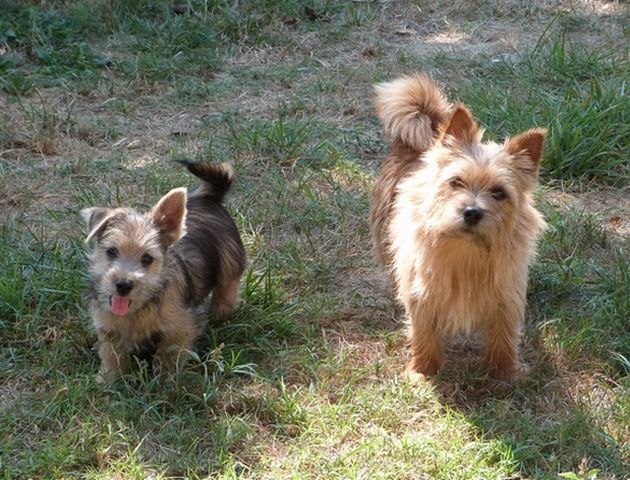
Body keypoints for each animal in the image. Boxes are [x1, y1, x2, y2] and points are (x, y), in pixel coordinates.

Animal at [79, 161, 247, 382]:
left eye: (147, 259)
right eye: (111, 251)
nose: (123, 285)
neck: (138, 309)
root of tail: (206, 197)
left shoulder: (179, 329)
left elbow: (167, 356)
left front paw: (165, 381)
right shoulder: (109, 329)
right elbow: (111, 355)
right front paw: (107, 380)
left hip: (229, 270)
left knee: (226, 295)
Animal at [370, 75, 548, 380]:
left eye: (499, 193)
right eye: (456, 182)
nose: (472, 212)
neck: (466, 251)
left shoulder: (507, 296)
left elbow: (504, 335)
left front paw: (506, 372)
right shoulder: (421, 294)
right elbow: (423, 334)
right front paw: (423, 372)